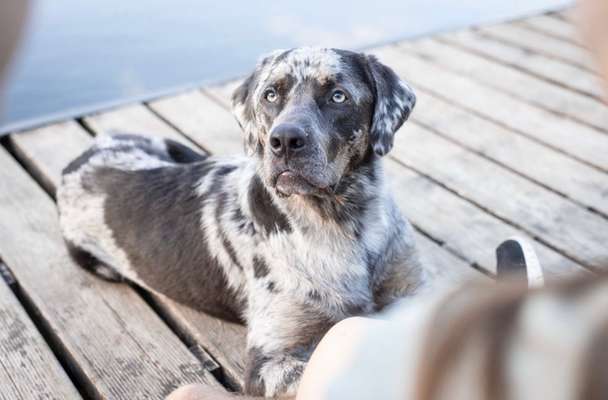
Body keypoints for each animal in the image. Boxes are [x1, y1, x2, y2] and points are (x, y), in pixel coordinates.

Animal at [55, 47, 428, 396]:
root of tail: (79, 159)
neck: (348, 224)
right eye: (270, 95)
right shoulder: (269, 362)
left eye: (338, 96)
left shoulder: (414, 295)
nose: (285, 140)